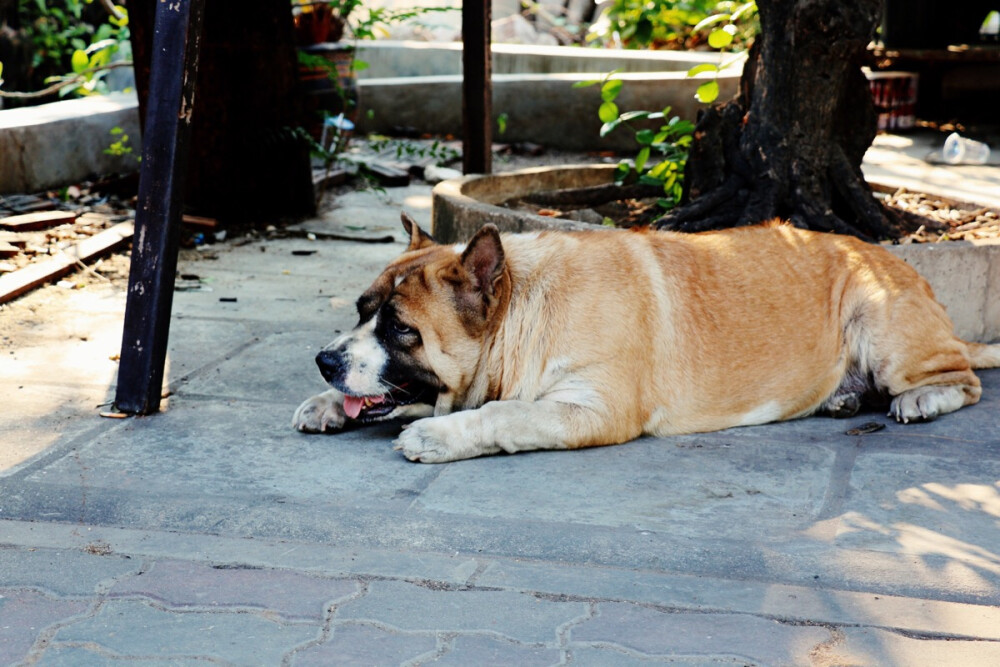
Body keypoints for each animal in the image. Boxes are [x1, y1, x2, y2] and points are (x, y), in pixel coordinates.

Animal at [292, 211, 996, 462]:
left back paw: (919, 398)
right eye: (360, 310)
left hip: (879, 321)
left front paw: (440, 435)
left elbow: (502, 415)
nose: (324, 359)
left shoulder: (589, 409)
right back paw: (844, 396)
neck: (523, 313)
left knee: (962, 378)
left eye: (401, 330)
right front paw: (326, 402)